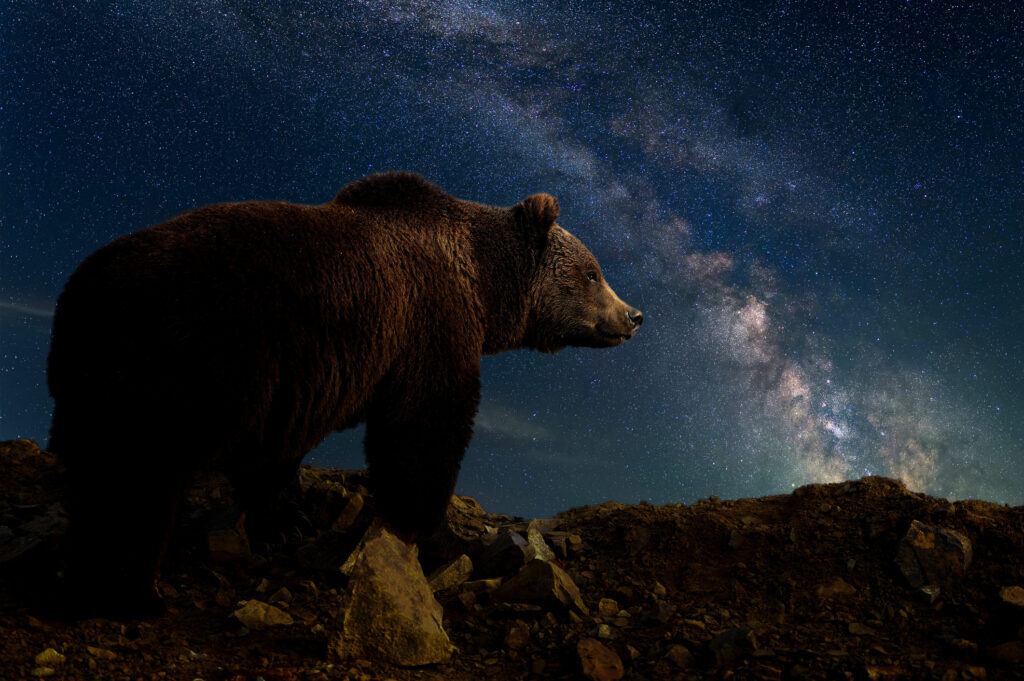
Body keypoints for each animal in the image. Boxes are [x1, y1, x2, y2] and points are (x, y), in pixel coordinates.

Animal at [46, 171, 642, 618]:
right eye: (592, 273)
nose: (633, 315)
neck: (483, 284)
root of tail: (79, 293)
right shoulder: (424, 326)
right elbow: (424, 433)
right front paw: (440, 537)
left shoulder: (297, 382)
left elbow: (276, 457)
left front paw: (285, 520)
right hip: (180, 361)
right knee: (134, 478)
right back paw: (126, 591)